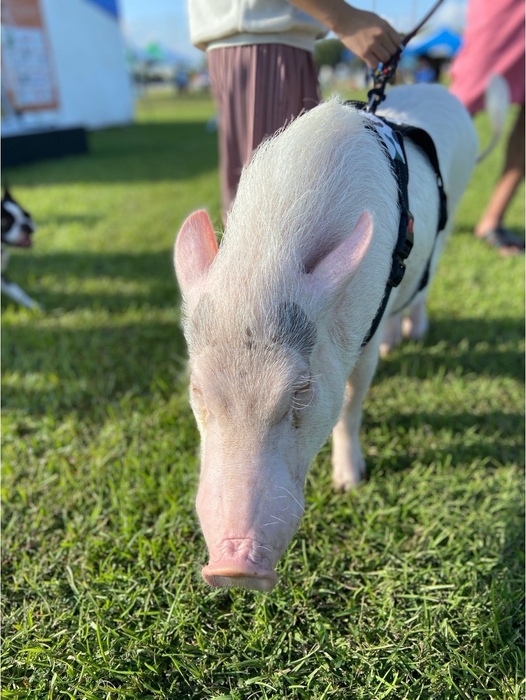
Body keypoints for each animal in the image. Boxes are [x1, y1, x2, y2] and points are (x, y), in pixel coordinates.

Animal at [175, 85, 480, 592]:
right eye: (197, 390)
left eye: (301, 390)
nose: (231, 569)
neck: (270, 252)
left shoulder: (364, 333)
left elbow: (352, 403)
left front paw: (349, 484)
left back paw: (412, 336)